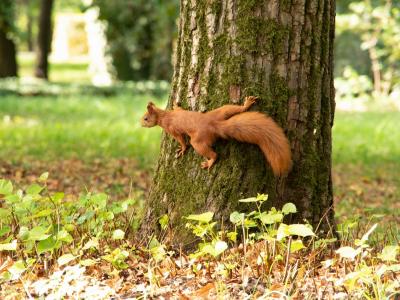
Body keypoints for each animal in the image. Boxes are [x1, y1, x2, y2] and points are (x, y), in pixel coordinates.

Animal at [141, 96, 290, 176]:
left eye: (146, 119)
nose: (140, 124)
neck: (165, 116)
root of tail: (214, 125)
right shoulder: (178, 112)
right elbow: (179, 108)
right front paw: (175, 103)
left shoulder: (171, 129)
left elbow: (181, 140)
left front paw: (182, 149)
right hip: (221, 112)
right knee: (231, 108)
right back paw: (246, 105)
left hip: (198, 141)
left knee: (212, 153)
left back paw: (210, 161)